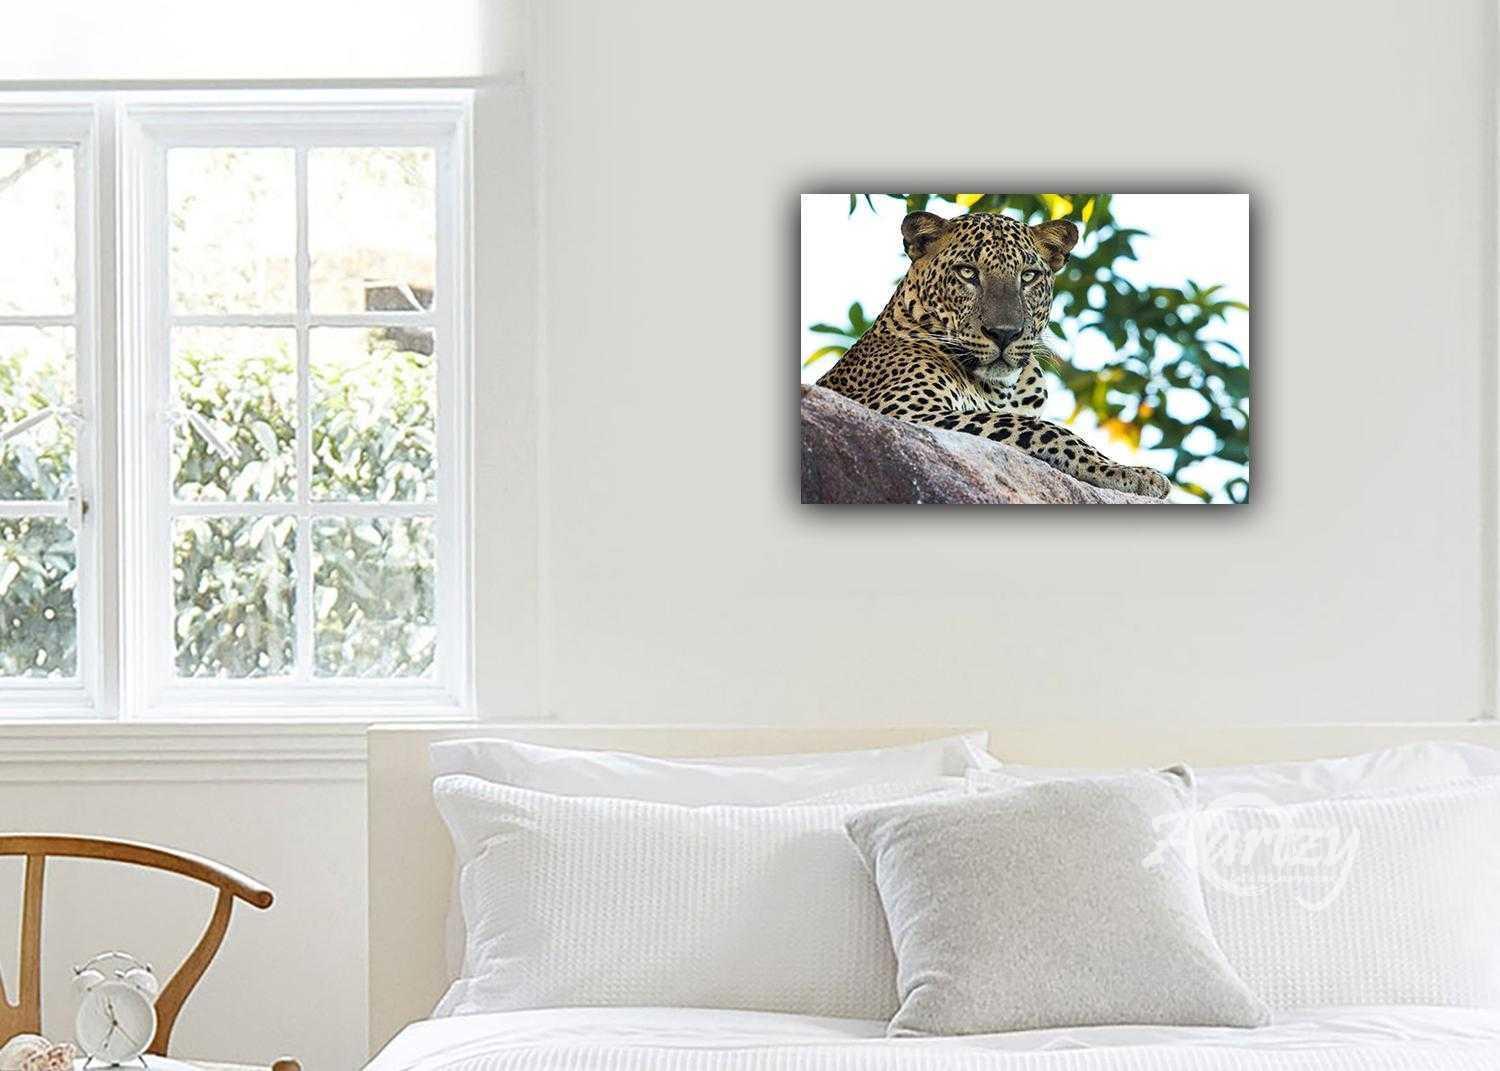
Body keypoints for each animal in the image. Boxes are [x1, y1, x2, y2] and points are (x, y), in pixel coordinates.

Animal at [816, 210, 1172, 500]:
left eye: (1028, 276)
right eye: (967, 273)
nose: (1004, 333)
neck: (1003, 389)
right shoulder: (904, 411)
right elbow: (1040, 427)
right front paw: (1130, 473)